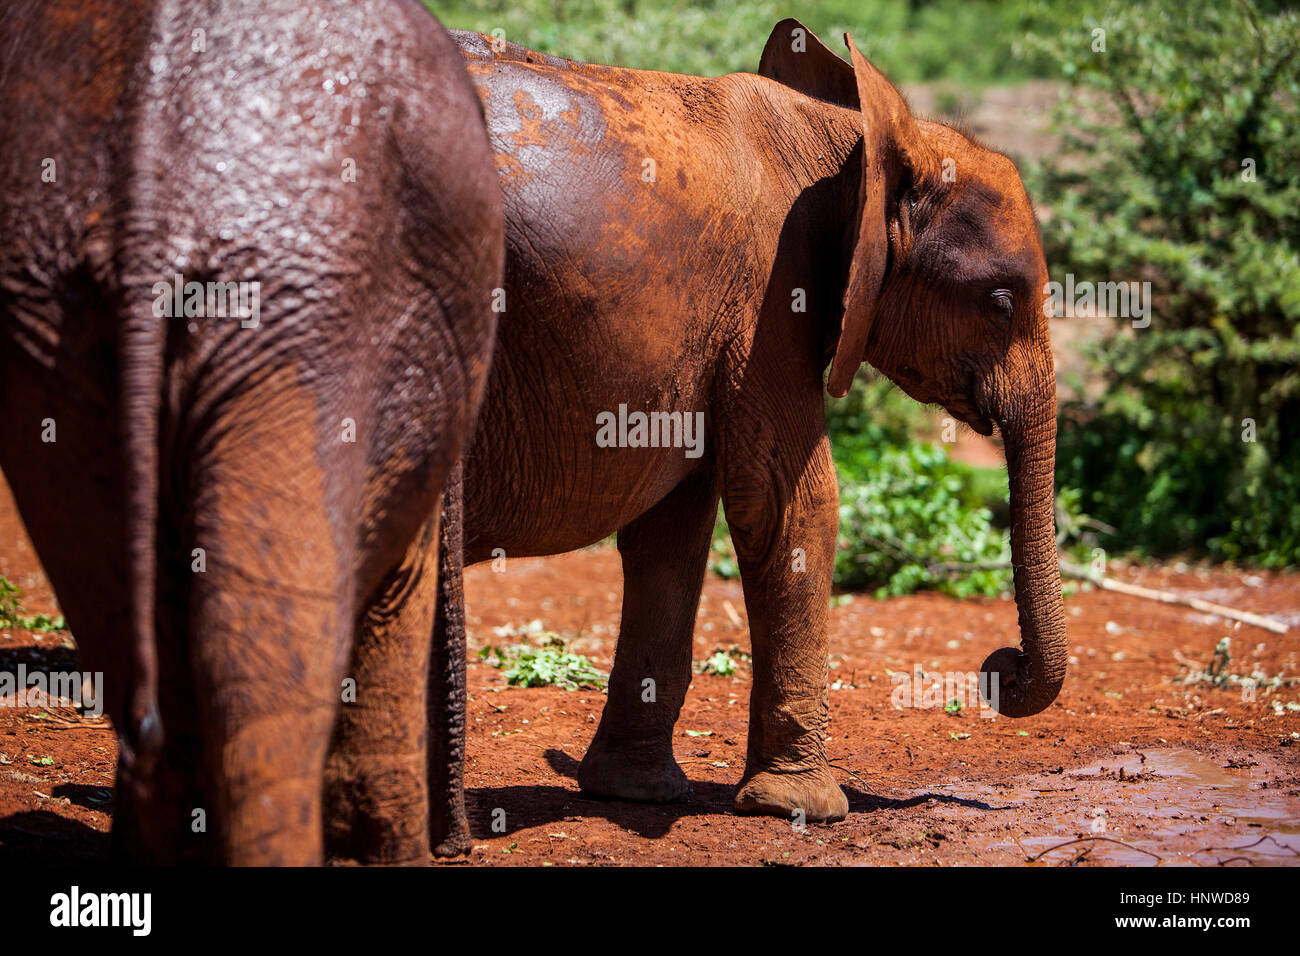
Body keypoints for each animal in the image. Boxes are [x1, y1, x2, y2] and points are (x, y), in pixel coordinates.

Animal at [436, 18, 1066, 832]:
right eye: (1001, 301)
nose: (998, 669)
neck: (847, 143)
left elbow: (670, 530)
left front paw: (637, 794)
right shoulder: (771, 297)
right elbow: (791, 503)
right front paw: (804, 809)